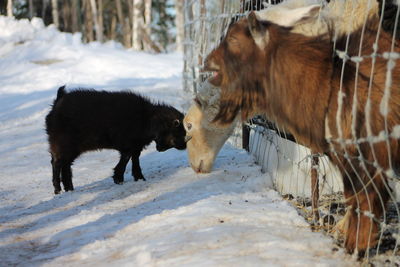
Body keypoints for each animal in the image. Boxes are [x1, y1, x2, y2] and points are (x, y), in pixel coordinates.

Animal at [205, 7, 400, 255]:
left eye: (233, 39)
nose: (207, 62)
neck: (333, 80)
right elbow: (356, 197)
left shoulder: (365, 154)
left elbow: (364, 197)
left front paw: (355, 245)